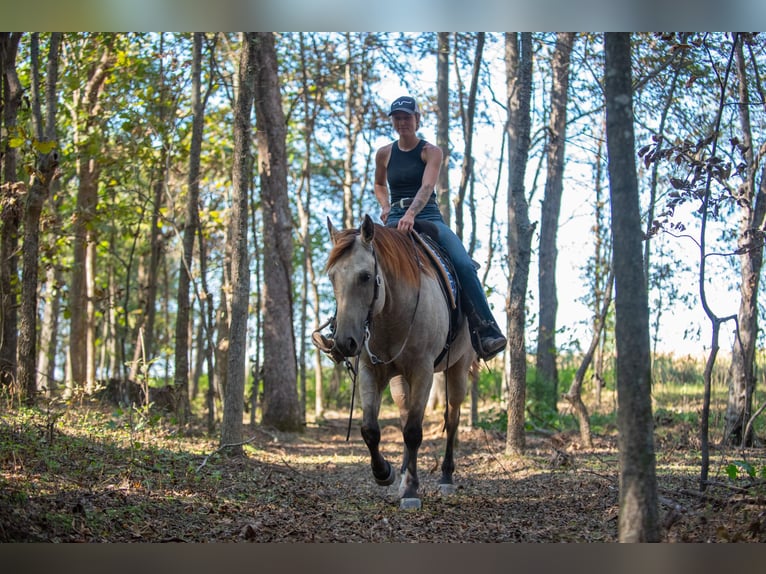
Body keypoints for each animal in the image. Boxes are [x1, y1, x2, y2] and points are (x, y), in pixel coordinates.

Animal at [322, 214, 476, 510]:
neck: (391, 315)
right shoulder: (370, 371)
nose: (344, 343)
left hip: (458, 369)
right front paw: (385, 473)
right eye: (332, 277)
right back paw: (404, 472)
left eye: (365, 276)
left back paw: (446, 477)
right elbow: (370, 429)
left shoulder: (423, 371)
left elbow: (414, 431)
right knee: (406, 416)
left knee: (451, 418)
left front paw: (411, 491)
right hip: (400, 380)